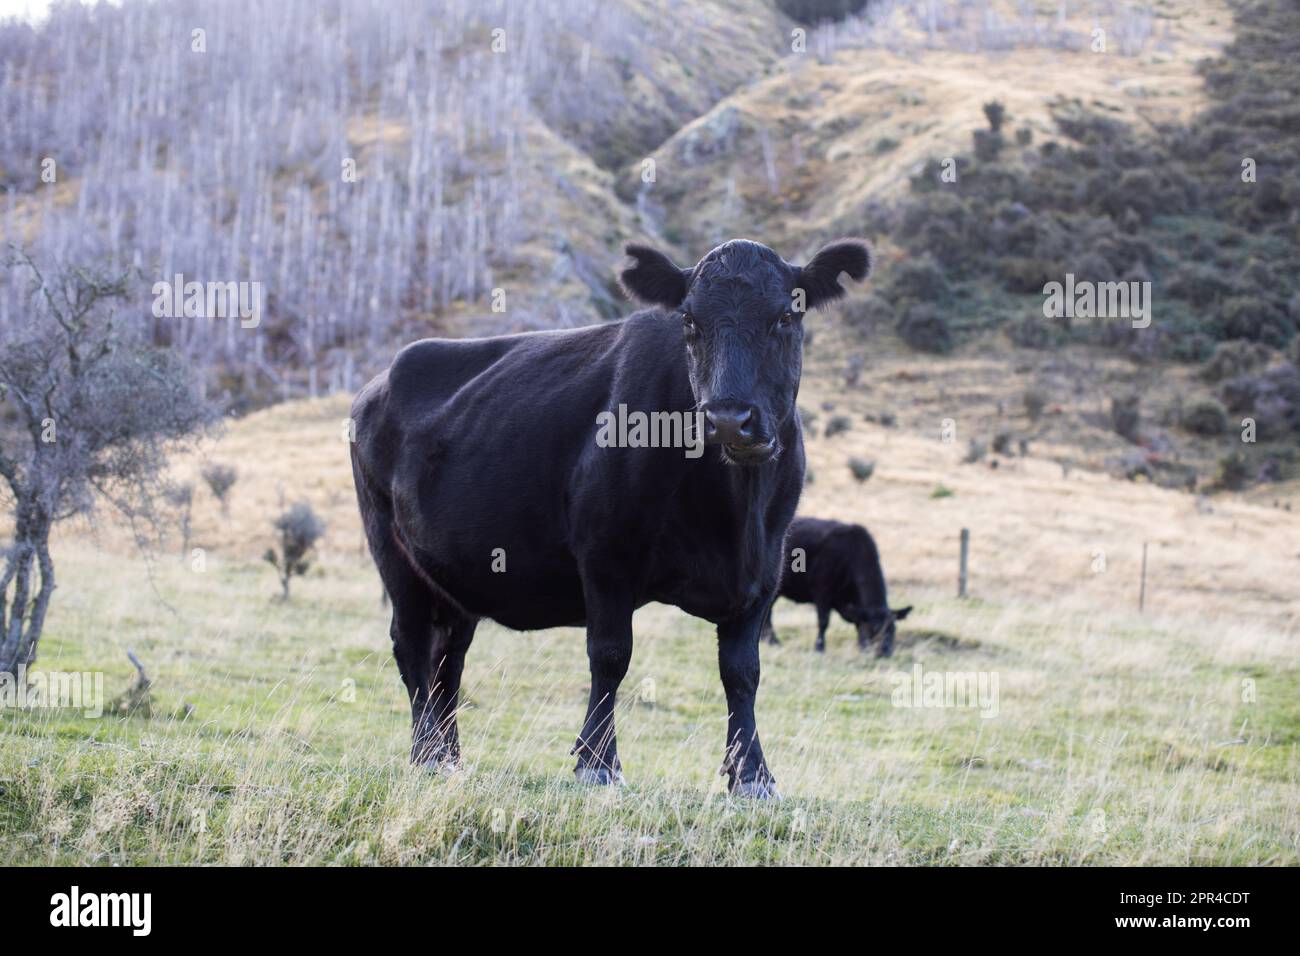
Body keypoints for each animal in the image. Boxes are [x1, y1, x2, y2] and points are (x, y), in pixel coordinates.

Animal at [350, 237, 872, 798]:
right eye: (689, 321)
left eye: (785, 317)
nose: (729, 419)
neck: (735, 512)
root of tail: (377, 384)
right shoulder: (606, 555)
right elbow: (610, 656)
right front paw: (598, 763)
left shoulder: (763, 569)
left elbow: (742, 672)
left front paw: (752, 775)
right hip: (391, 549)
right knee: (411, 645)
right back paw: (427, 753)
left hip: (455, 573)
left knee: (449, 654)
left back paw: (449, 757)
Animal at [761, 517, 911, 656]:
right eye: (871, 630)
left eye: (892, 630)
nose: (884, 653)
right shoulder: (822, 593)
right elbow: (823, 622)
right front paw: (819, 648)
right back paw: (773, 641)